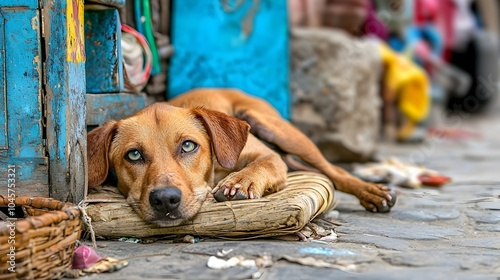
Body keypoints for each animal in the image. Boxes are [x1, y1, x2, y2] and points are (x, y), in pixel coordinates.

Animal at [88, 88, 396, 226]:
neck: (216, 171)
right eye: (134, 154)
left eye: (188, 146)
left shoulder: (267, 156)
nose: (165, 199)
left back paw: (371, 192)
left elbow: (260, 164)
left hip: (279, 130)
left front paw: (240, 183)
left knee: (334, 171)